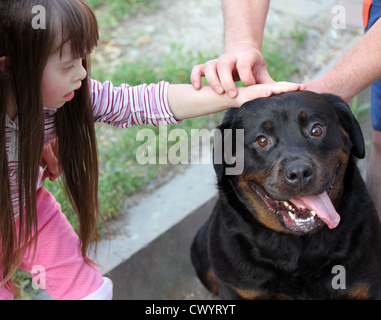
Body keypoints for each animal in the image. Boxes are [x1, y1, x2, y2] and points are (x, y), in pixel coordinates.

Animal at [191, 90, 380, 300]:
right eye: (262, 140)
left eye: (316, 129)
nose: (299, 172)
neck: (299, 245)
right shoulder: (237, 289)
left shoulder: (366, 283)